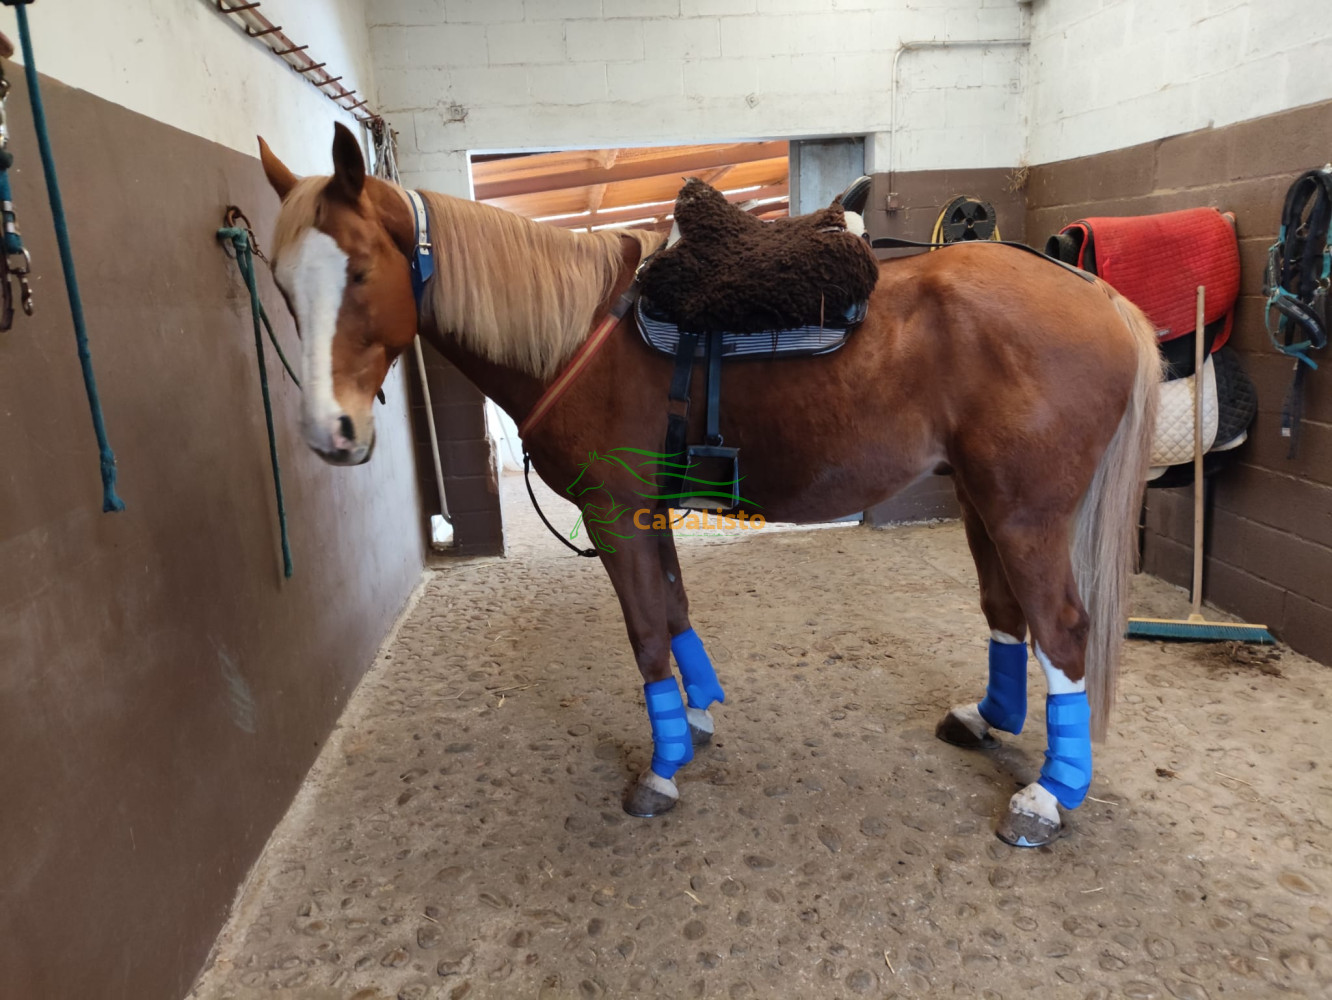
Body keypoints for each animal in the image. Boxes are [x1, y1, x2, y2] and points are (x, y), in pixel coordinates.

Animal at [256, 124, 1159, 848]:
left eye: (360, 270)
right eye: (280, 280)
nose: (331, 433)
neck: (580, 336)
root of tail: (1098, 296)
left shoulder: (613, 513)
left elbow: (646, 634)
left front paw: (661, 767)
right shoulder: (648, 510)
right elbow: (675, 610)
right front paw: (694, 720)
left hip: (1025, 513)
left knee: (1063, 632)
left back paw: (1050, 795)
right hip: (983, 501)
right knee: (1007, 614)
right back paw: (986, 722)